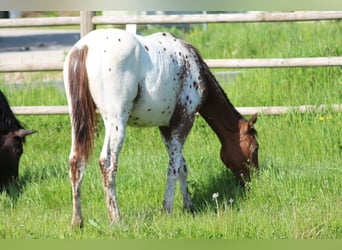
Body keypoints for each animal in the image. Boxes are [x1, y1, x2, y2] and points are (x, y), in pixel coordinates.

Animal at [63, 28, 260, 228]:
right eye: (255, 148)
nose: (253, 180)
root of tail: (84, 46)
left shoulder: (166, 128)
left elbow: (182, 166)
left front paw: (189, 206)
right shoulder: (185, 120)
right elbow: (174, 167)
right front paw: (167, 209)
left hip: (79, 121)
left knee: (76, 162)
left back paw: (77, 221)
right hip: (116, 122)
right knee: (107, 165)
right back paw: (116, 219)